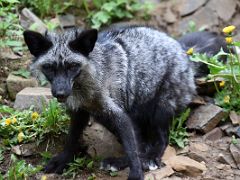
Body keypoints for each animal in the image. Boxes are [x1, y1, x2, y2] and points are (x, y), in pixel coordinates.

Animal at [23, 26, 225, 180]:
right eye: (49, 68)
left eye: (72, 66)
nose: (61, 93)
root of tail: (182, 50)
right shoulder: (80, 112)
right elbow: (71, 139)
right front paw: (64, 159)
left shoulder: (119, 115)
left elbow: (132, 150)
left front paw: (136, 173)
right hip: (111, 117)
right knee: (142, 144)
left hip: (159, 110)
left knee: (159, 140)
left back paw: (150, 158)